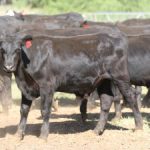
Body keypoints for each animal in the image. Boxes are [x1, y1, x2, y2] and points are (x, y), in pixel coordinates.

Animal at [0, 30, 143, 141]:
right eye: (2, 49)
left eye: (17, 49)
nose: (8, 67)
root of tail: (118, 35)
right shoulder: (26, 89)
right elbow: (23, 111)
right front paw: (18, 134)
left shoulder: (47, 86)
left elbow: (45, 111)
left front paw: (43, 136)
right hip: (104, 81)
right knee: (106, 102)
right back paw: (96, 131)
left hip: (120, 77)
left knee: (131, 96)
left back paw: (139, 127)